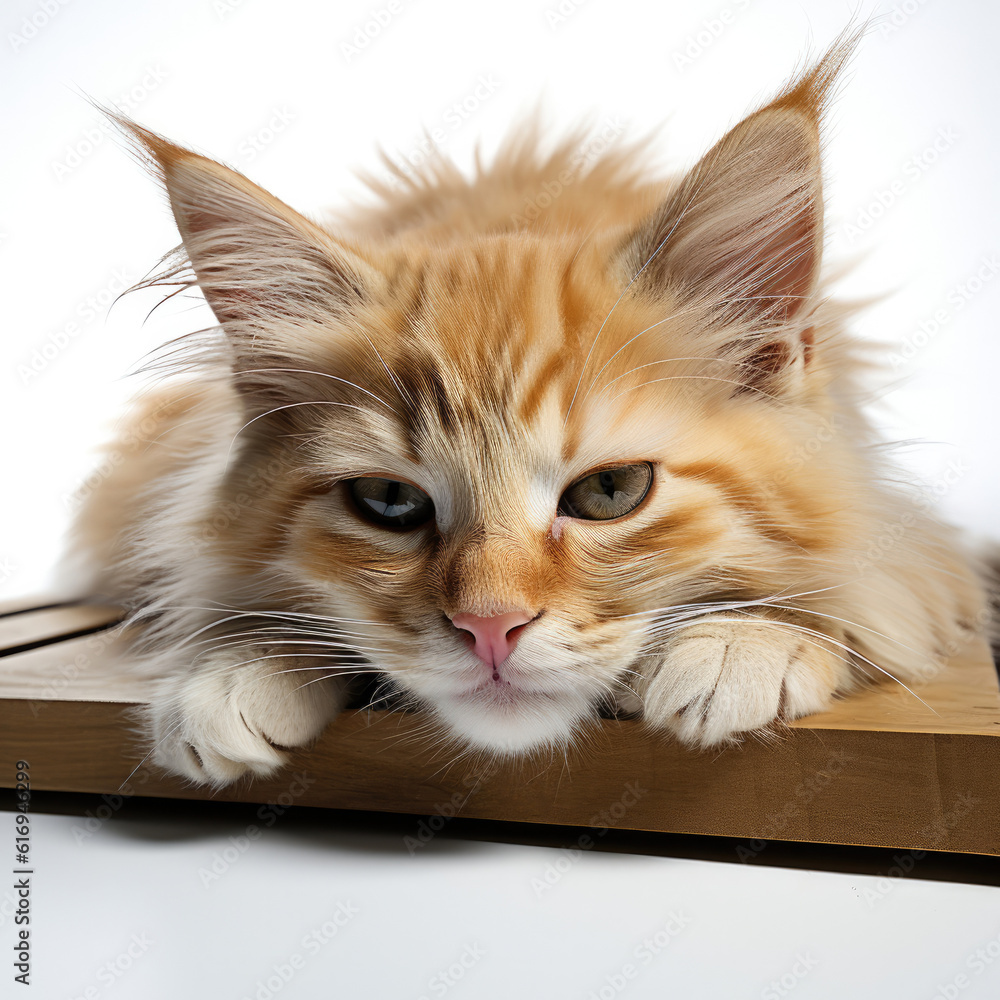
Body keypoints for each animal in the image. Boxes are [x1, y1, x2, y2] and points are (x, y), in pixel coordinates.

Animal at [64, 39, 992, 784]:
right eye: (389, 502)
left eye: (611, 492)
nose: (489, 628)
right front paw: (236, 669)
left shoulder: (917, 545)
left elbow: (867, 593)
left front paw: (743, 643)